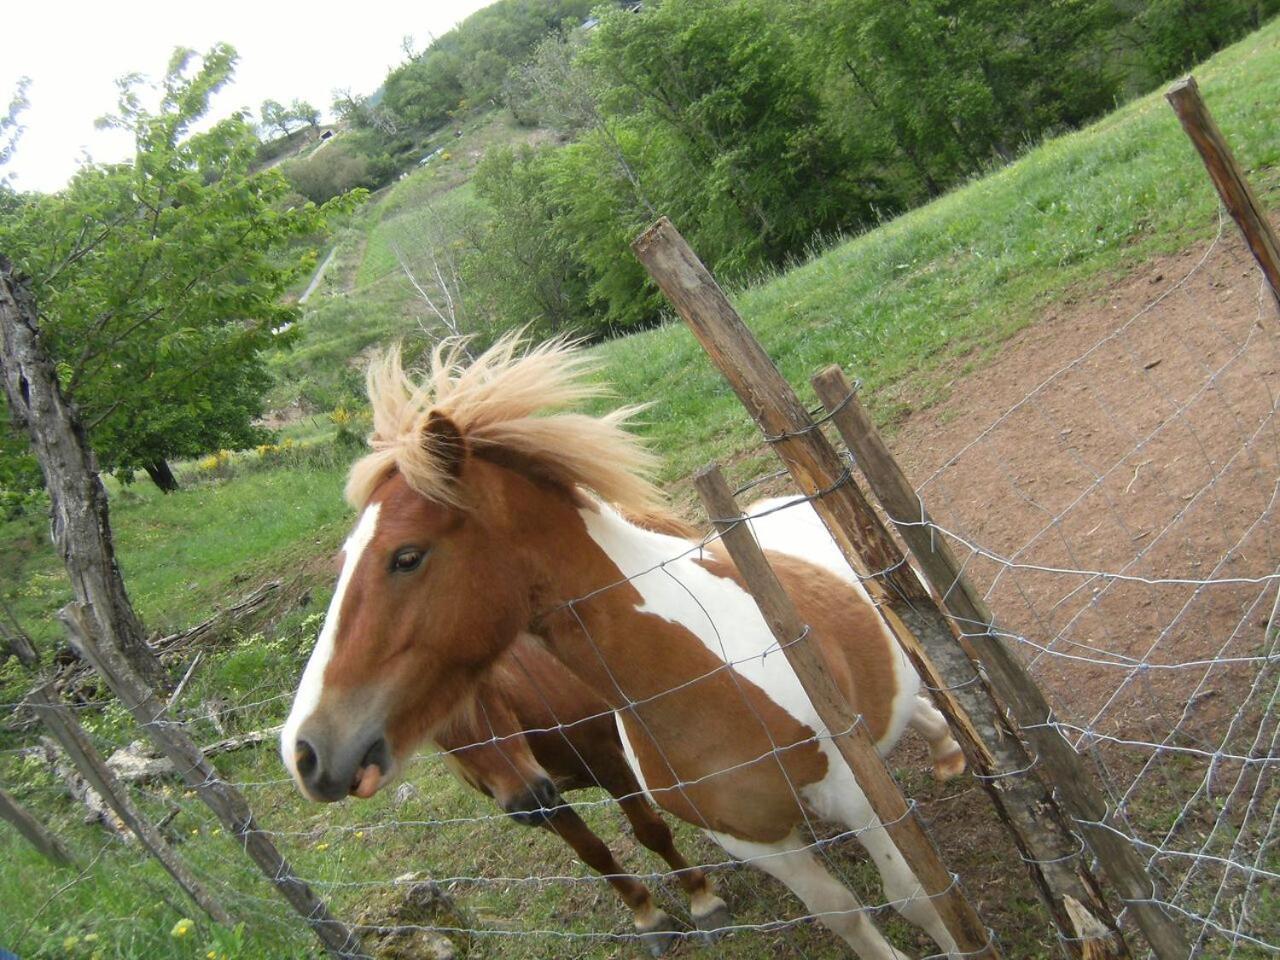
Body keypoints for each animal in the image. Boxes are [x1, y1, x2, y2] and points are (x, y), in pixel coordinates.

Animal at [280, 337, 962, 960]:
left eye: (406, 556)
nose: (305, 752)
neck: (703, 677)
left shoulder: (853, 794)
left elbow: (915, 898)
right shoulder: (757, 843)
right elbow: (844, 916)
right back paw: (946, 754)